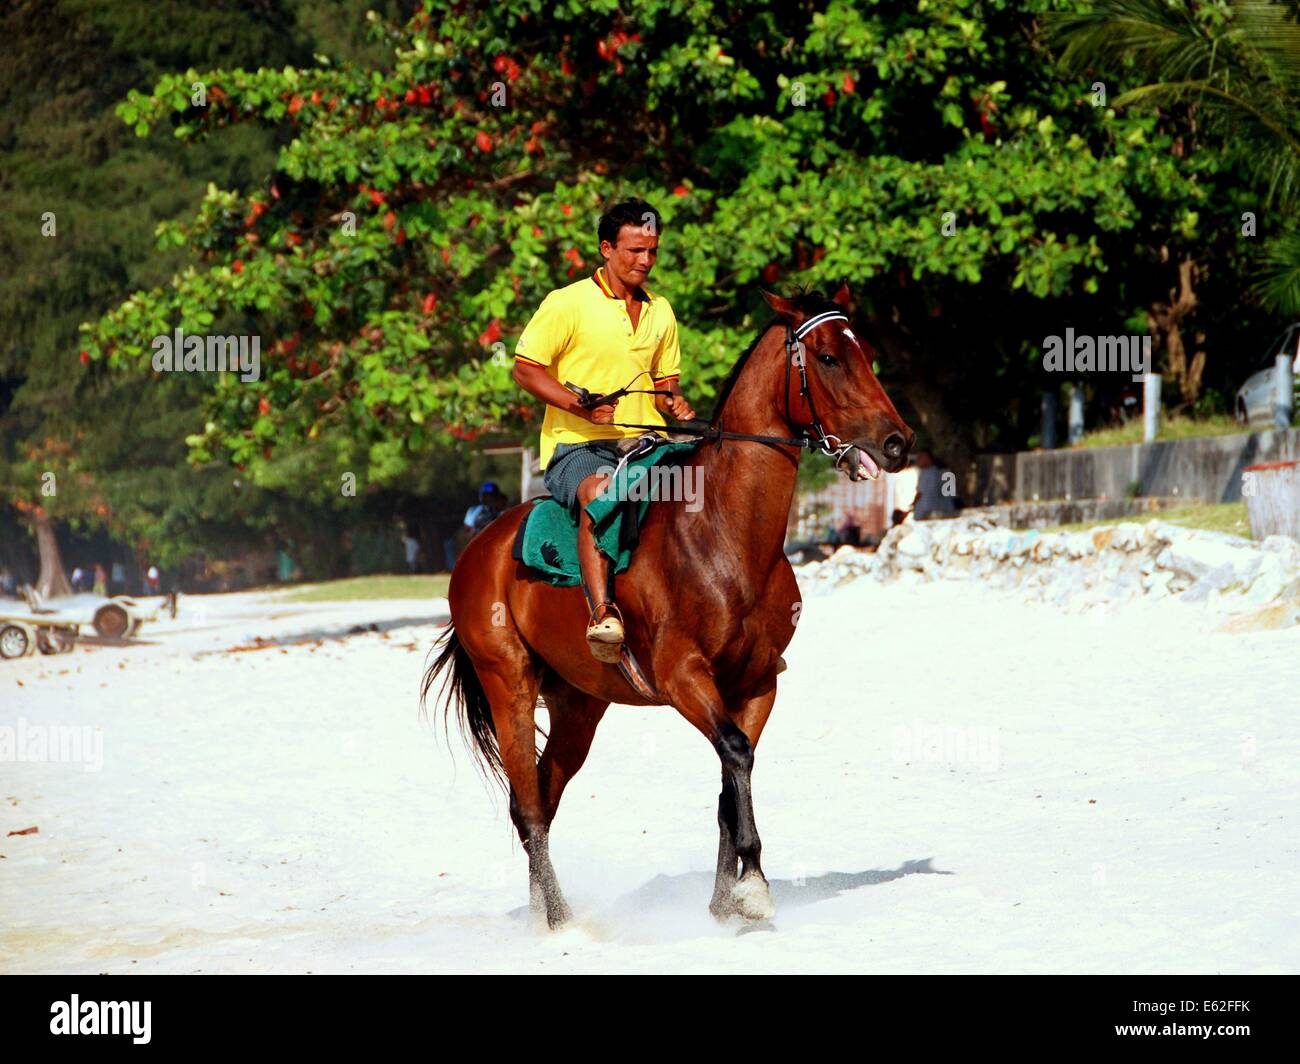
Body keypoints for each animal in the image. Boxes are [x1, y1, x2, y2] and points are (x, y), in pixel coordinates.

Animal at [422, 284, 913, 928]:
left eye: (870, 354)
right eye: (829, 358)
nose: (897, 443)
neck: (723, 534)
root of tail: (479, 550)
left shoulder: (757, 683)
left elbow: (733, 778)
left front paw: (724, 901)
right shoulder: (683, 677)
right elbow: (735, 755)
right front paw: (753, 888)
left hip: (578, 705)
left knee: (543, 797)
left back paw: (542, 913)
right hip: (511, 684)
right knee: (526, 806)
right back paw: (559, 923)